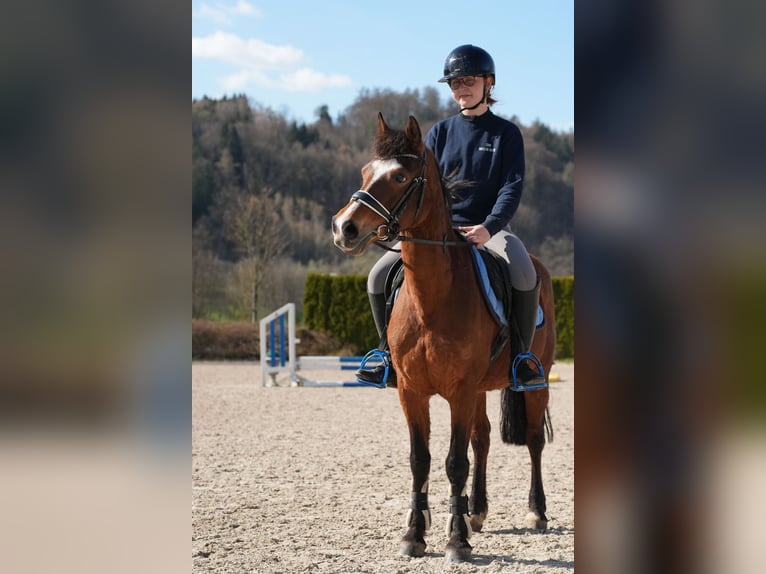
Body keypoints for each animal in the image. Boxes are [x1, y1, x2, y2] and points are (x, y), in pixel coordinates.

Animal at [331, 113, 556, 563]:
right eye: (366, 171)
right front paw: (415, 535)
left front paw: (456, 542)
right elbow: (421, 459)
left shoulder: (460, 390)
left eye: (400, 176)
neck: (431, 298)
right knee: (482, 439)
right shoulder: (412, 391)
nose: (344, 227)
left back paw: (536, 512)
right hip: (482, 387)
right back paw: (477, 512)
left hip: (533, 382)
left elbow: (455, 461)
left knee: (533, 439)